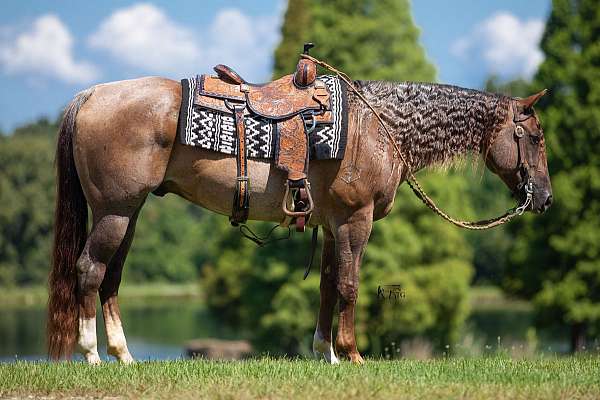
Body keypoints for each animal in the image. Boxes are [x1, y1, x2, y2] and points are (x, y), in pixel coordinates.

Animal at [47, 76, 552, 366]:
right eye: (535, 136)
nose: (545, 198)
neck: (378, 127)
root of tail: (91, 95)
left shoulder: (330, 226)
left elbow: (328, 286)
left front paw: (325, 354)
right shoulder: (355, 221)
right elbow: (349, 285)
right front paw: (351, 354)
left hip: (127, 215)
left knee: (111, 278)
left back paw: (124, 356)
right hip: (115, 212)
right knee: (89, 271)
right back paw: (91, 355)